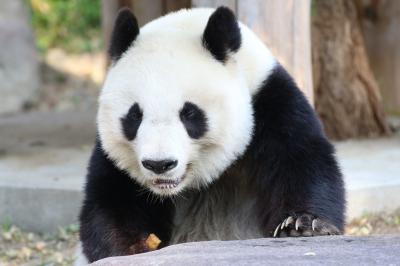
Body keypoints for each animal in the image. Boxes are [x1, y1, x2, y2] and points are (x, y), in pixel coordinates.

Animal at [76, 6, 346, 264]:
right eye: (134, 115)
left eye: (189, 113)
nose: (159, 164)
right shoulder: (112, 159)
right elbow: (108, 202)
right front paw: (134, 246)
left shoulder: (270, 101)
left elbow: (303, 162)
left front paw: (303, 224)